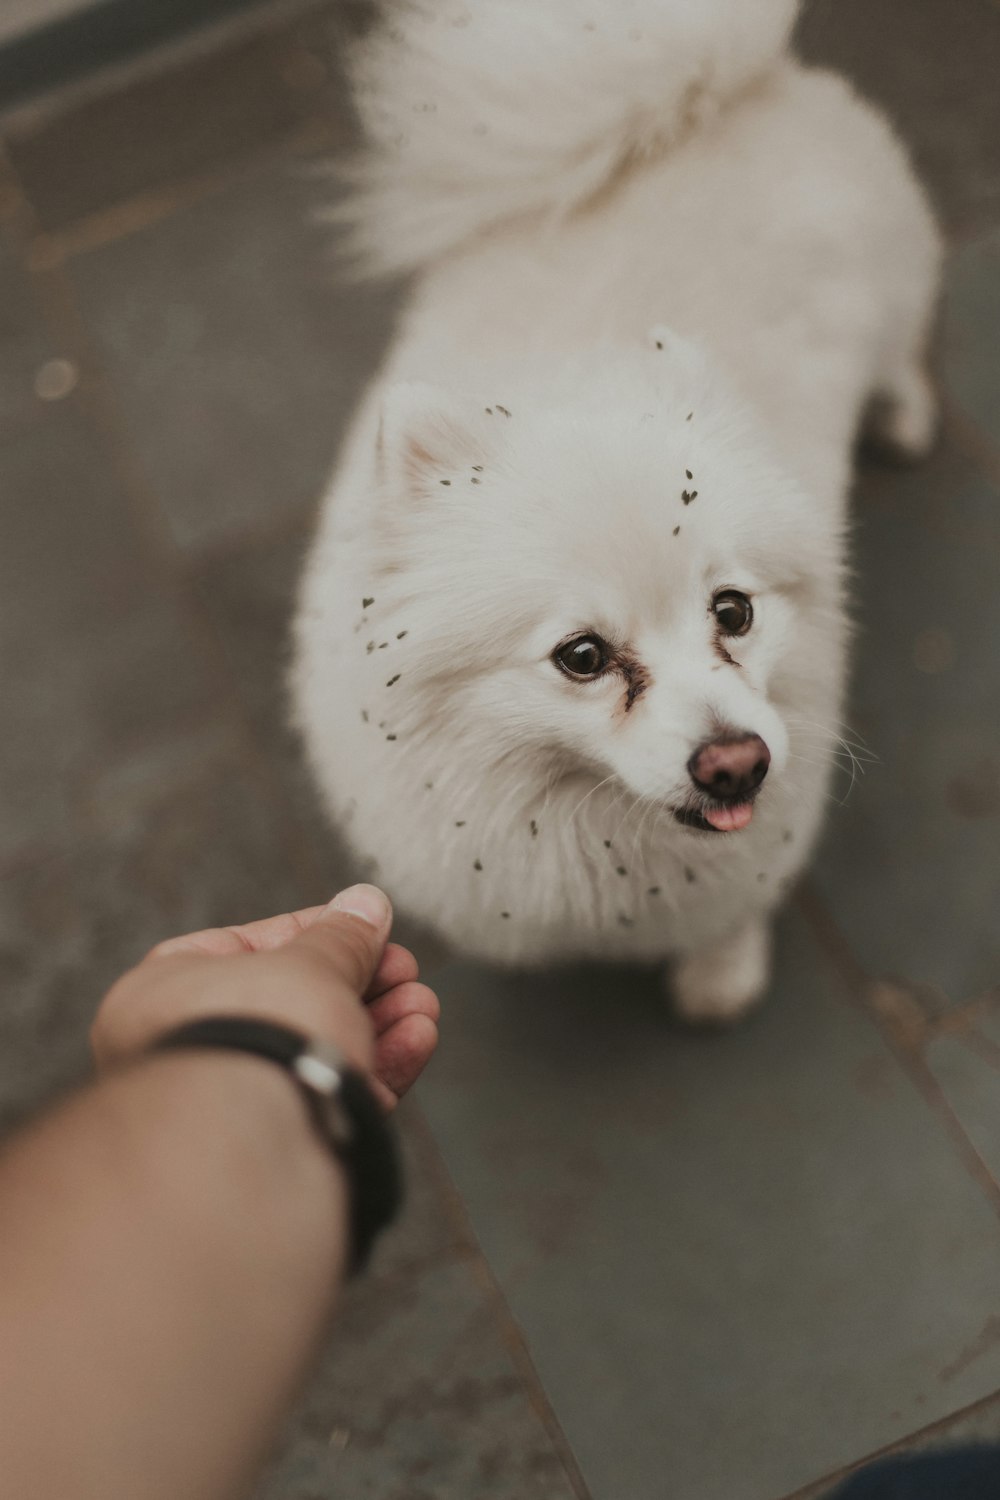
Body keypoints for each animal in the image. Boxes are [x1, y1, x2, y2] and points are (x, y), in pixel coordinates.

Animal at [293, 0, 941, 1020]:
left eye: (733, 611)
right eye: (582, 657)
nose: (736, 762)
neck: (596, 828)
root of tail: (727, 86)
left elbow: (730, 916)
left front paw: (720, 978)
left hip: (892, 293)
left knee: (905, 355)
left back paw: (907, 419)